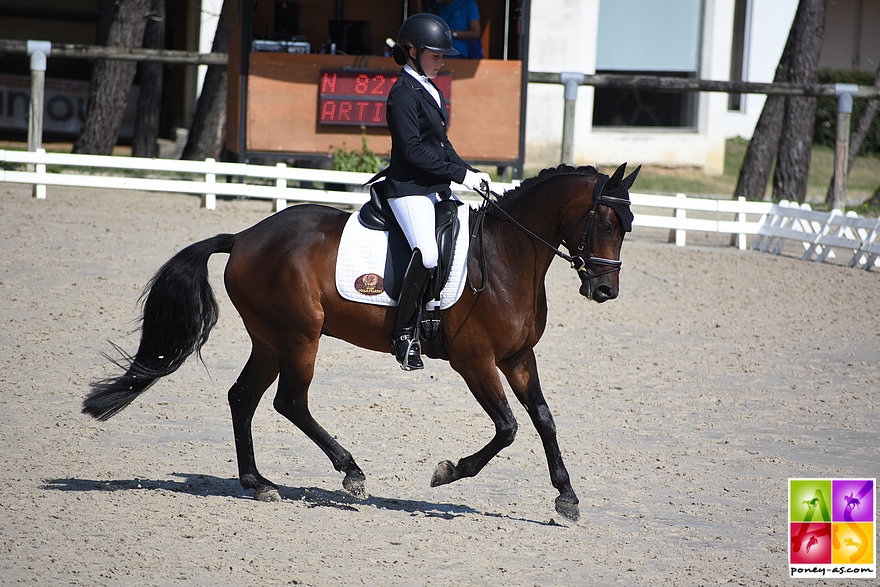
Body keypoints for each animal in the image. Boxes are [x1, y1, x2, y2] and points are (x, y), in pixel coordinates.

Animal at [84, 162, 640, 524]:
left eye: (628, 224)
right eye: (604, 221)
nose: (605, 290)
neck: (508, 256)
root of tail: (243, 237)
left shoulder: (519, 358)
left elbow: (543, 420)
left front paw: (567, 498)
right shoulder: (475, 361)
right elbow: (507, 428)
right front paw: (447, 472)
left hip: (269, 340)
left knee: (243, 398)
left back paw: (259, 483)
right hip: (299, 337)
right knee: (290, 401)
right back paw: (350, 473)